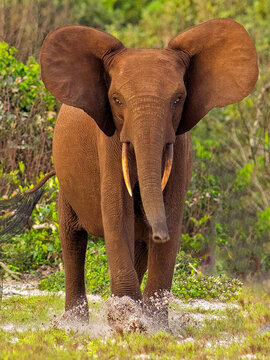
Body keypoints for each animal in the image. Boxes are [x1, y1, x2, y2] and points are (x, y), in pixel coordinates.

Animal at [2, 18, 260, 330]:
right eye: (116, 99)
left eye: (179, 99)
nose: (158, 232)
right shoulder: (109, 142)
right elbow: (116, 212)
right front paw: (128, 321)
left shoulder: (180, 144)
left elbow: (171, 212)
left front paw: (153, 326)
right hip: (65, 181)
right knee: (72, 237)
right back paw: (74, 323)